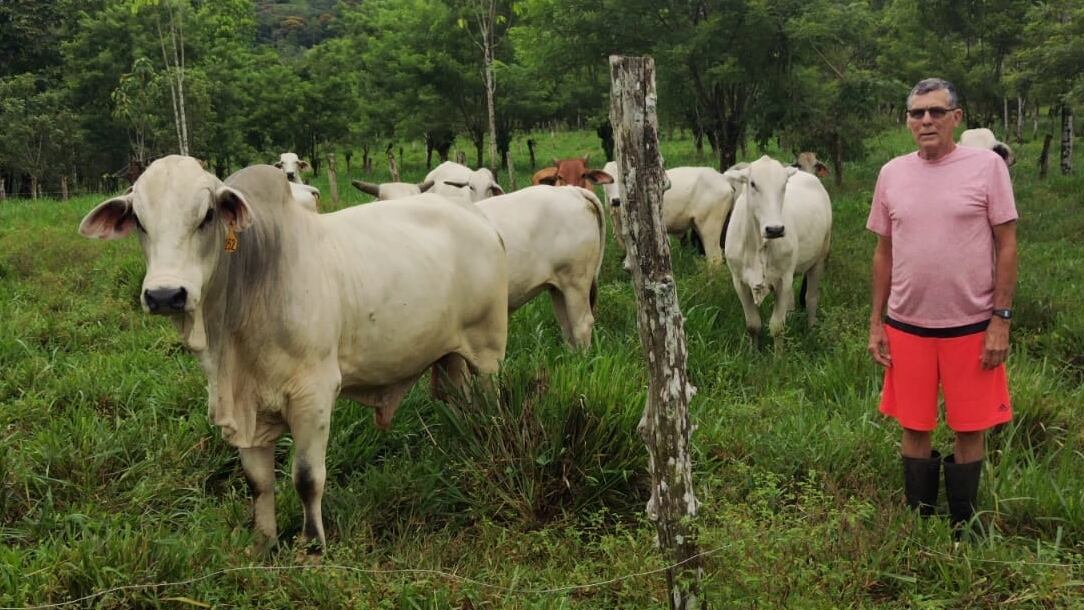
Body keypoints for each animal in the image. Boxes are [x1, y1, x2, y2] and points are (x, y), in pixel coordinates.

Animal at [78, 156, 508, 552]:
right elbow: (258, 482)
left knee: (488, 397)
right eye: (138, 220)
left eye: (208, 215)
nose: (166, 295)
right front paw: (263, 542)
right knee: (457, 397)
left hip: (488, 350)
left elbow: (306, 477)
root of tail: (478, 218)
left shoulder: (313, 395)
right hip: (449, 355)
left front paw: (313, 546)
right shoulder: (246, 405)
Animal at [721, 155, 832, 346]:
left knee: (811, 298)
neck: (757, 245)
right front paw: (754, 351)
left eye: (783, 184)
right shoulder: (739, 281)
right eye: (752, 184)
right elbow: (753, 325)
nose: (775, 229)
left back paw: (811, 329)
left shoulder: (783, 280)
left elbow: (777, 327)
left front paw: (778, 353)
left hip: (819, 259)